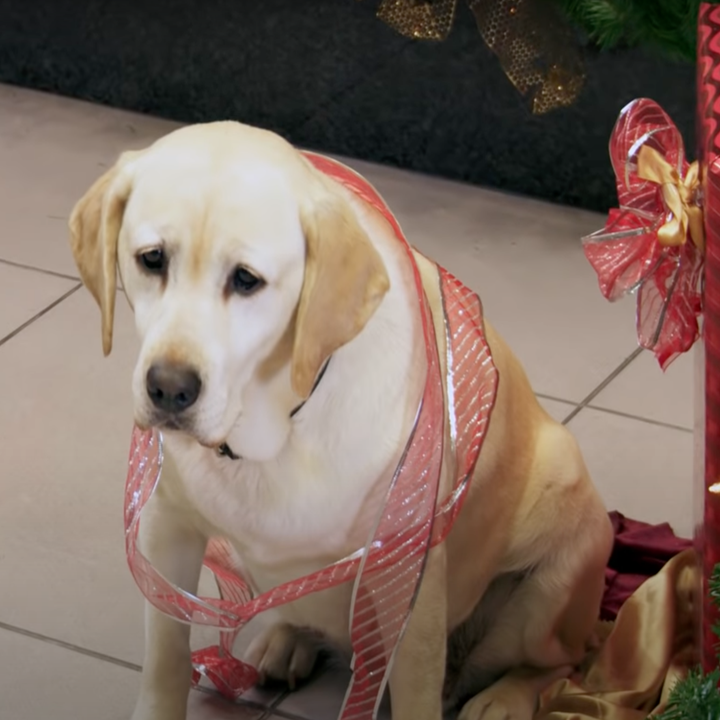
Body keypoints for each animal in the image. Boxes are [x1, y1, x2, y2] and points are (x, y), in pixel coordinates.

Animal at [69, 124, 612, 720]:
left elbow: (416, 693)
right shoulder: (166, 531)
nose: (169, 388)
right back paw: (287, 641)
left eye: (246, 279)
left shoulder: (407, 576)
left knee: (563, 660)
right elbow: (166, 660)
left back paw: (504, 697)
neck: (276, 429)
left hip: (553, 571)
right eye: (152, 258)